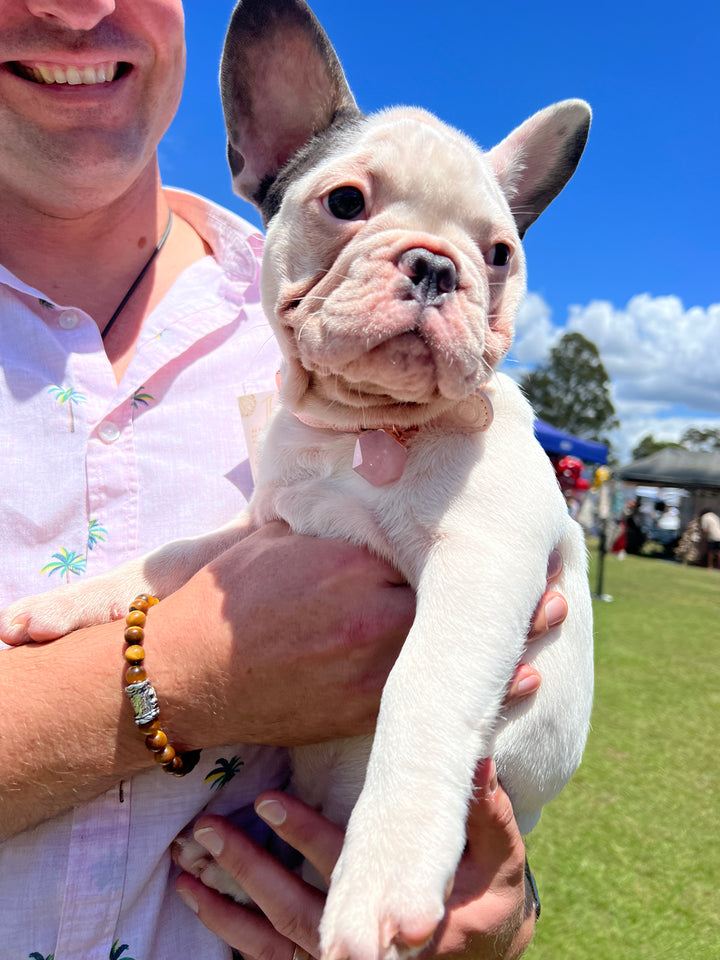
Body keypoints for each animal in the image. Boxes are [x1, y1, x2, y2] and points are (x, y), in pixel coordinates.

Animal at [0, 1, 592, 960]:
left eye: (501, 253)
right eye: (346, 203)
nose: (439, 265)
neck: (363, 432)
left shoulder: (483, 561)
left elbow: (421, 689)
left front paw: (385, 877)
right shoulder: (265, 524)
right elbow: (172, 557)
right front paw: (66, 603)